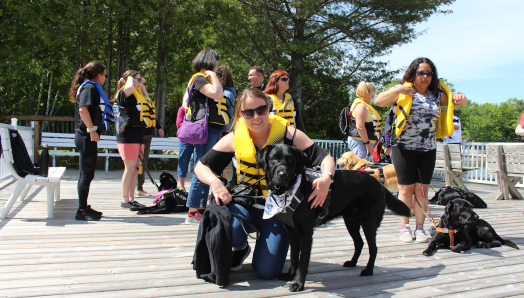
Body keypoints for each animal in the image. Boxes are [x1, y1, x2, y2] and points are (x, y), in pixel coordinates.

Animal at [256, 144, 412, 292]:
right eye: (274, 159)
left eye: (290, 160)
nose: (283, 174)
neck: (291, 190)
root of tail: (380, 185)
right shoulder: (292, 233)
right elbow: (294, 257)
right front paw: (289, 276)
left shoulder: (306, 234)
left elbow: (303, 262)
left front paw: (299, 284)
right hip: (351, 222)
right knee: (359, 243)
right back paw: (352, 263)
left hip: (369, 223)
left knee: (373, 248)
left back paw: (368, 270)